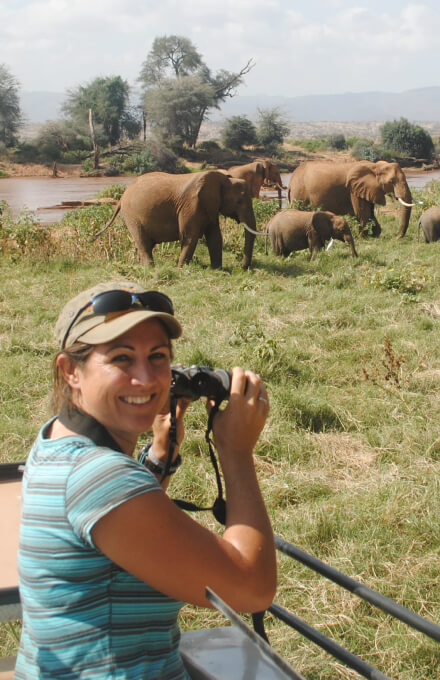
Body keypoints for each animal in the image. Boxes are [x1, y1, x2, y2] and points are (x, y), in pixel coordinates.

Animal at [94, 170, 256, 268]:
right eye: (239, 201)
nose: (242, 268)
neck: (224, 179)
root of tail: (121, 198)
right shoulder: (191, 205)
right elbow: (190, 236)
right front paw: (181, 269)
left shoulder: (210, 206)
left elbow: (215, 236)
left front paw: (217, 270)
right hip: (132, 215)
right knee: (142, 241)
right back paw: (150, 268)